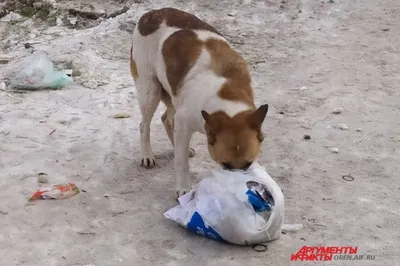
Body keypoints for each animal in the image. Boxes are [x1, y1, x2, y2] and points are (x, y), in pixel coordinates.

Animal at [131, 7, 268, 197]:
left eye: (248, 164)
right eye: (225, 164)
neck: (226, 93)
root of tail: (151, 13)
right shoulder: (184, 121)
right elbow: (181, 164)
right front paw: (183, 189)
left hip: (172, 94)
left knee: (166, 119)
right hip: (150, 91)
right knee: (144, 125)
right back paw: (147, 155)